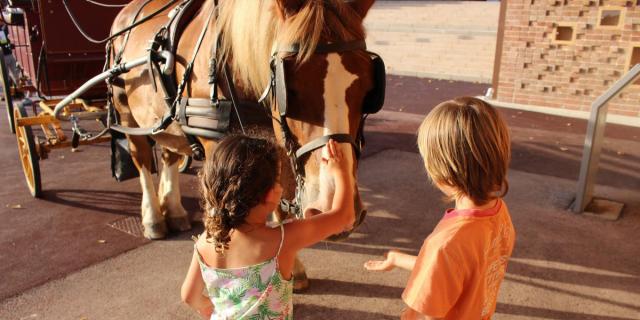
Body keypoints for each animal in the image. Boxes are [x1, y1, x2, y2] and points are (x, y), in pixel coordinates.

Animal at [109, 0, 380, 290]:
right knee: (142, 159)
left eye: (367, 88)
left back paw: (174, 210)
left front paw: (290, 264)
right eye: (290, 89)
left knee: (170, 153)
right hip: (126, 113)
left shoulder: (278, 142)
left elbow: (281, 197)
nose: (334, 206)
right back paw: (153, 219)